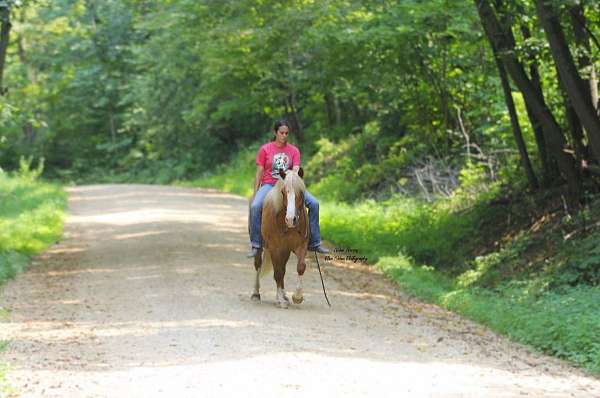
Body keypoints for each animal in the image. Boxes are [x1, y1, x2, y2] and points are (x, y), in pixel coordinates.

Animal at [251, 168, 312, 308]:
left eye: (301, 192)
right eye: (283, 192)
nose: (290, 219)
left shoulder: (300, 245)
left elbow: (300, 267)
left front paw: (297, 297)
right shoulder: (274, 248)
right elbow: (277, 272)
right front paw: (281, 301)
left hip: (285, 251)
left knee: (283, 269)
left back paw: (284, 295)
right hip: (261, 248)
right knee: (258, 265)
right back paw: (256, 294)